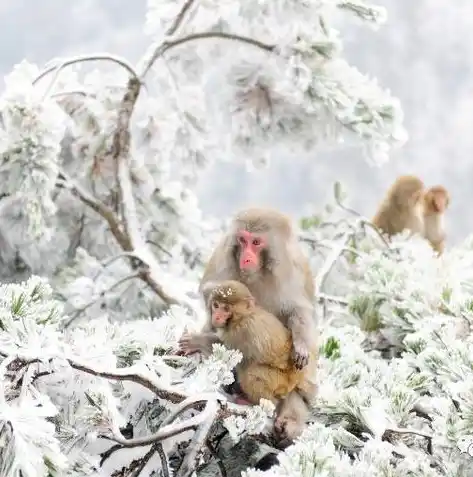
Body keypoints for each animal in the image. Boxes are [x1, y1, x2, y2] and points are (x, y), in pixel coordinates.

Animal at [206, 278, 314, 406]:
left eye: (226, 309)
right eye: (216, 305)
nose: (216, 317)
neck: (241, 318)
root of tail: (296, 377)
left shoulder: (239, 333)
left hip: (280, 381)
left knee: (252, 372)